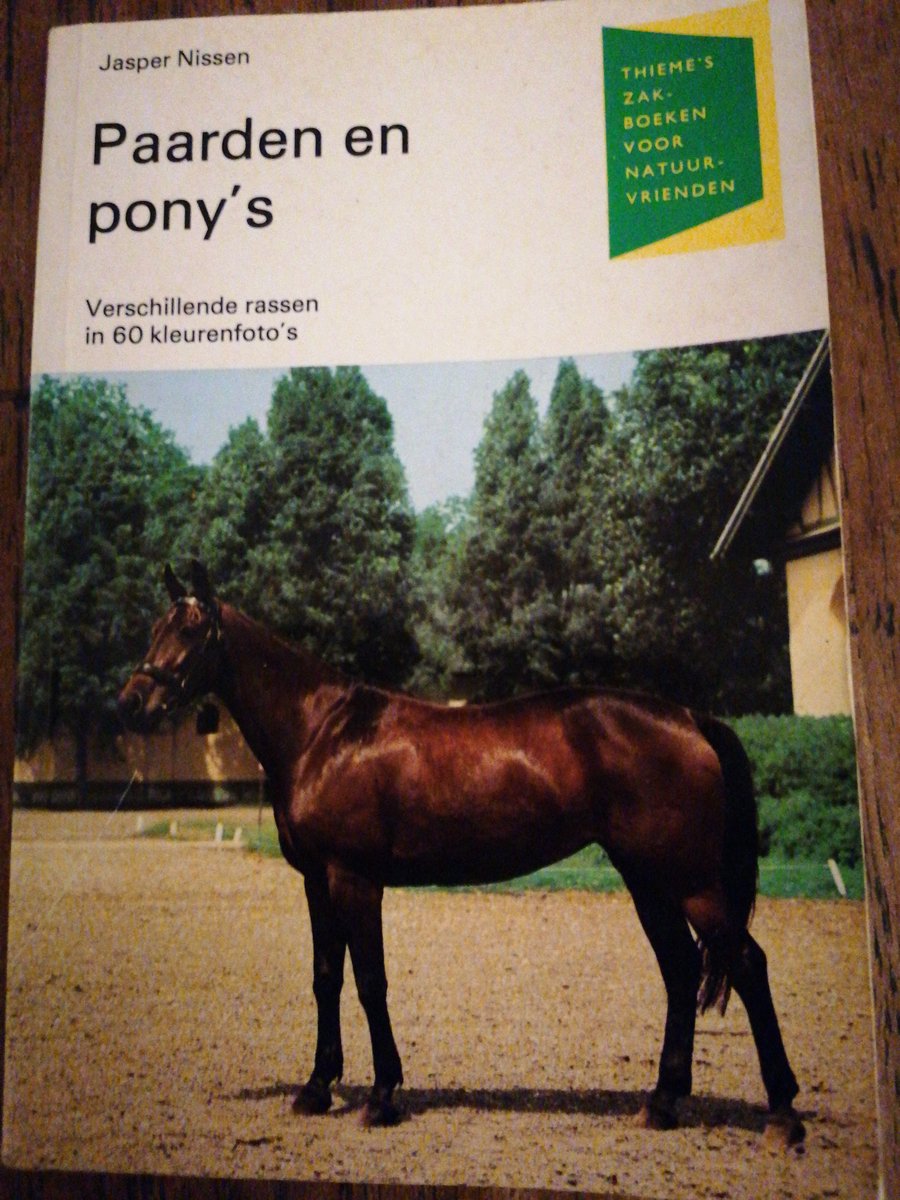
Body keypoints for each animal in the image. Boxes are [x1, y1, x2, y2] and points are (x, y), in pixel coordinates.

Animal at [117, 561, 804, 1144]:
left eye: (191, 629)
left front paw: (382, 1096)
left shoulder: (355, 879)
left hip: (690, 882)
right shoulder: (316, 881)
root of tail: (690, 718)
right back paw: (662, 1102)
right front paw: (315, 1088)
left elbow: (370, 981)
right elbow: (325, 978)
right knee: (682, 970)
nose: (131, 702)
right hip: (647, 880)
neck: (322, 733)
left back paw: (782, 1114)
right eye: (154, 628)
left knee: (747, 964)